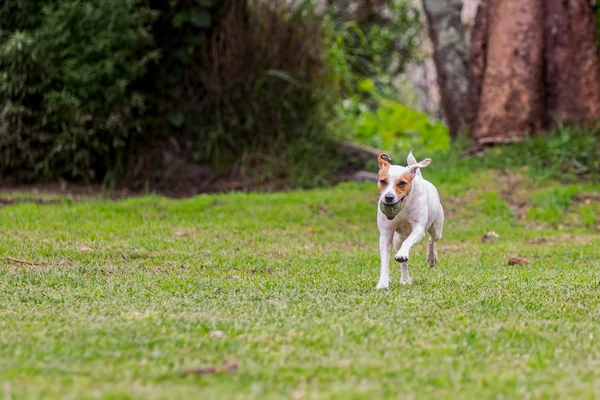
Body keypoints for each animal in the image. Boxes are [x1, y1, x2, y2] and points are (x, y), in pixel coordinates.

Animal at [376, 152, 446, 290]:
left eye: (402, 183)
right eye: (382, 181)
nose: (388, 197)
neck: (403, 206)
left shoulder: (418, 228)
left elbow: (408, 242)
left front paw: (402, 254)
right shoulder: (386, 233)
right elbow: (385, 259)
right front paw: (383, 283)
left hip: (436, 229)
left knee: (432, 239)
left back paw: (431, 258)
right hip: (398, 239)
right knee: (403, 260)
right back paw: (405, 279)